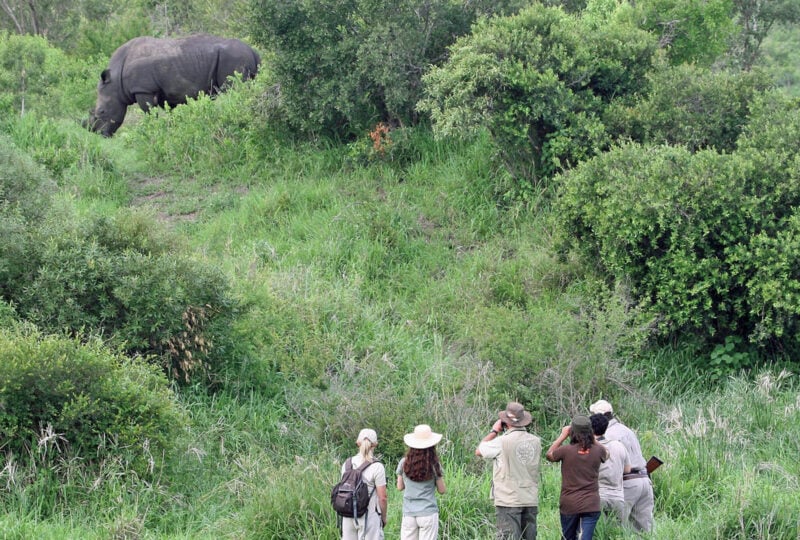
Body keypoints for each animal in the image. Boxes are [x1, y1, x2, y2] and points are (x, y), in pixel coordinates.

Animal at [88, 34, 260, 137]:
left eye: (101, 111)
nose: (99, 135)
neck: (115, 80)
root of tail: (252, 50)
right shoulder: (166, 91)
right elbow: (171, 111)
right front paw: (173, 129)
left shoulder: (143, 89)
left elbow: (149, 113)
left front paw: (154, 131)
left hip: (233, 58)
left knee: (236, 90)